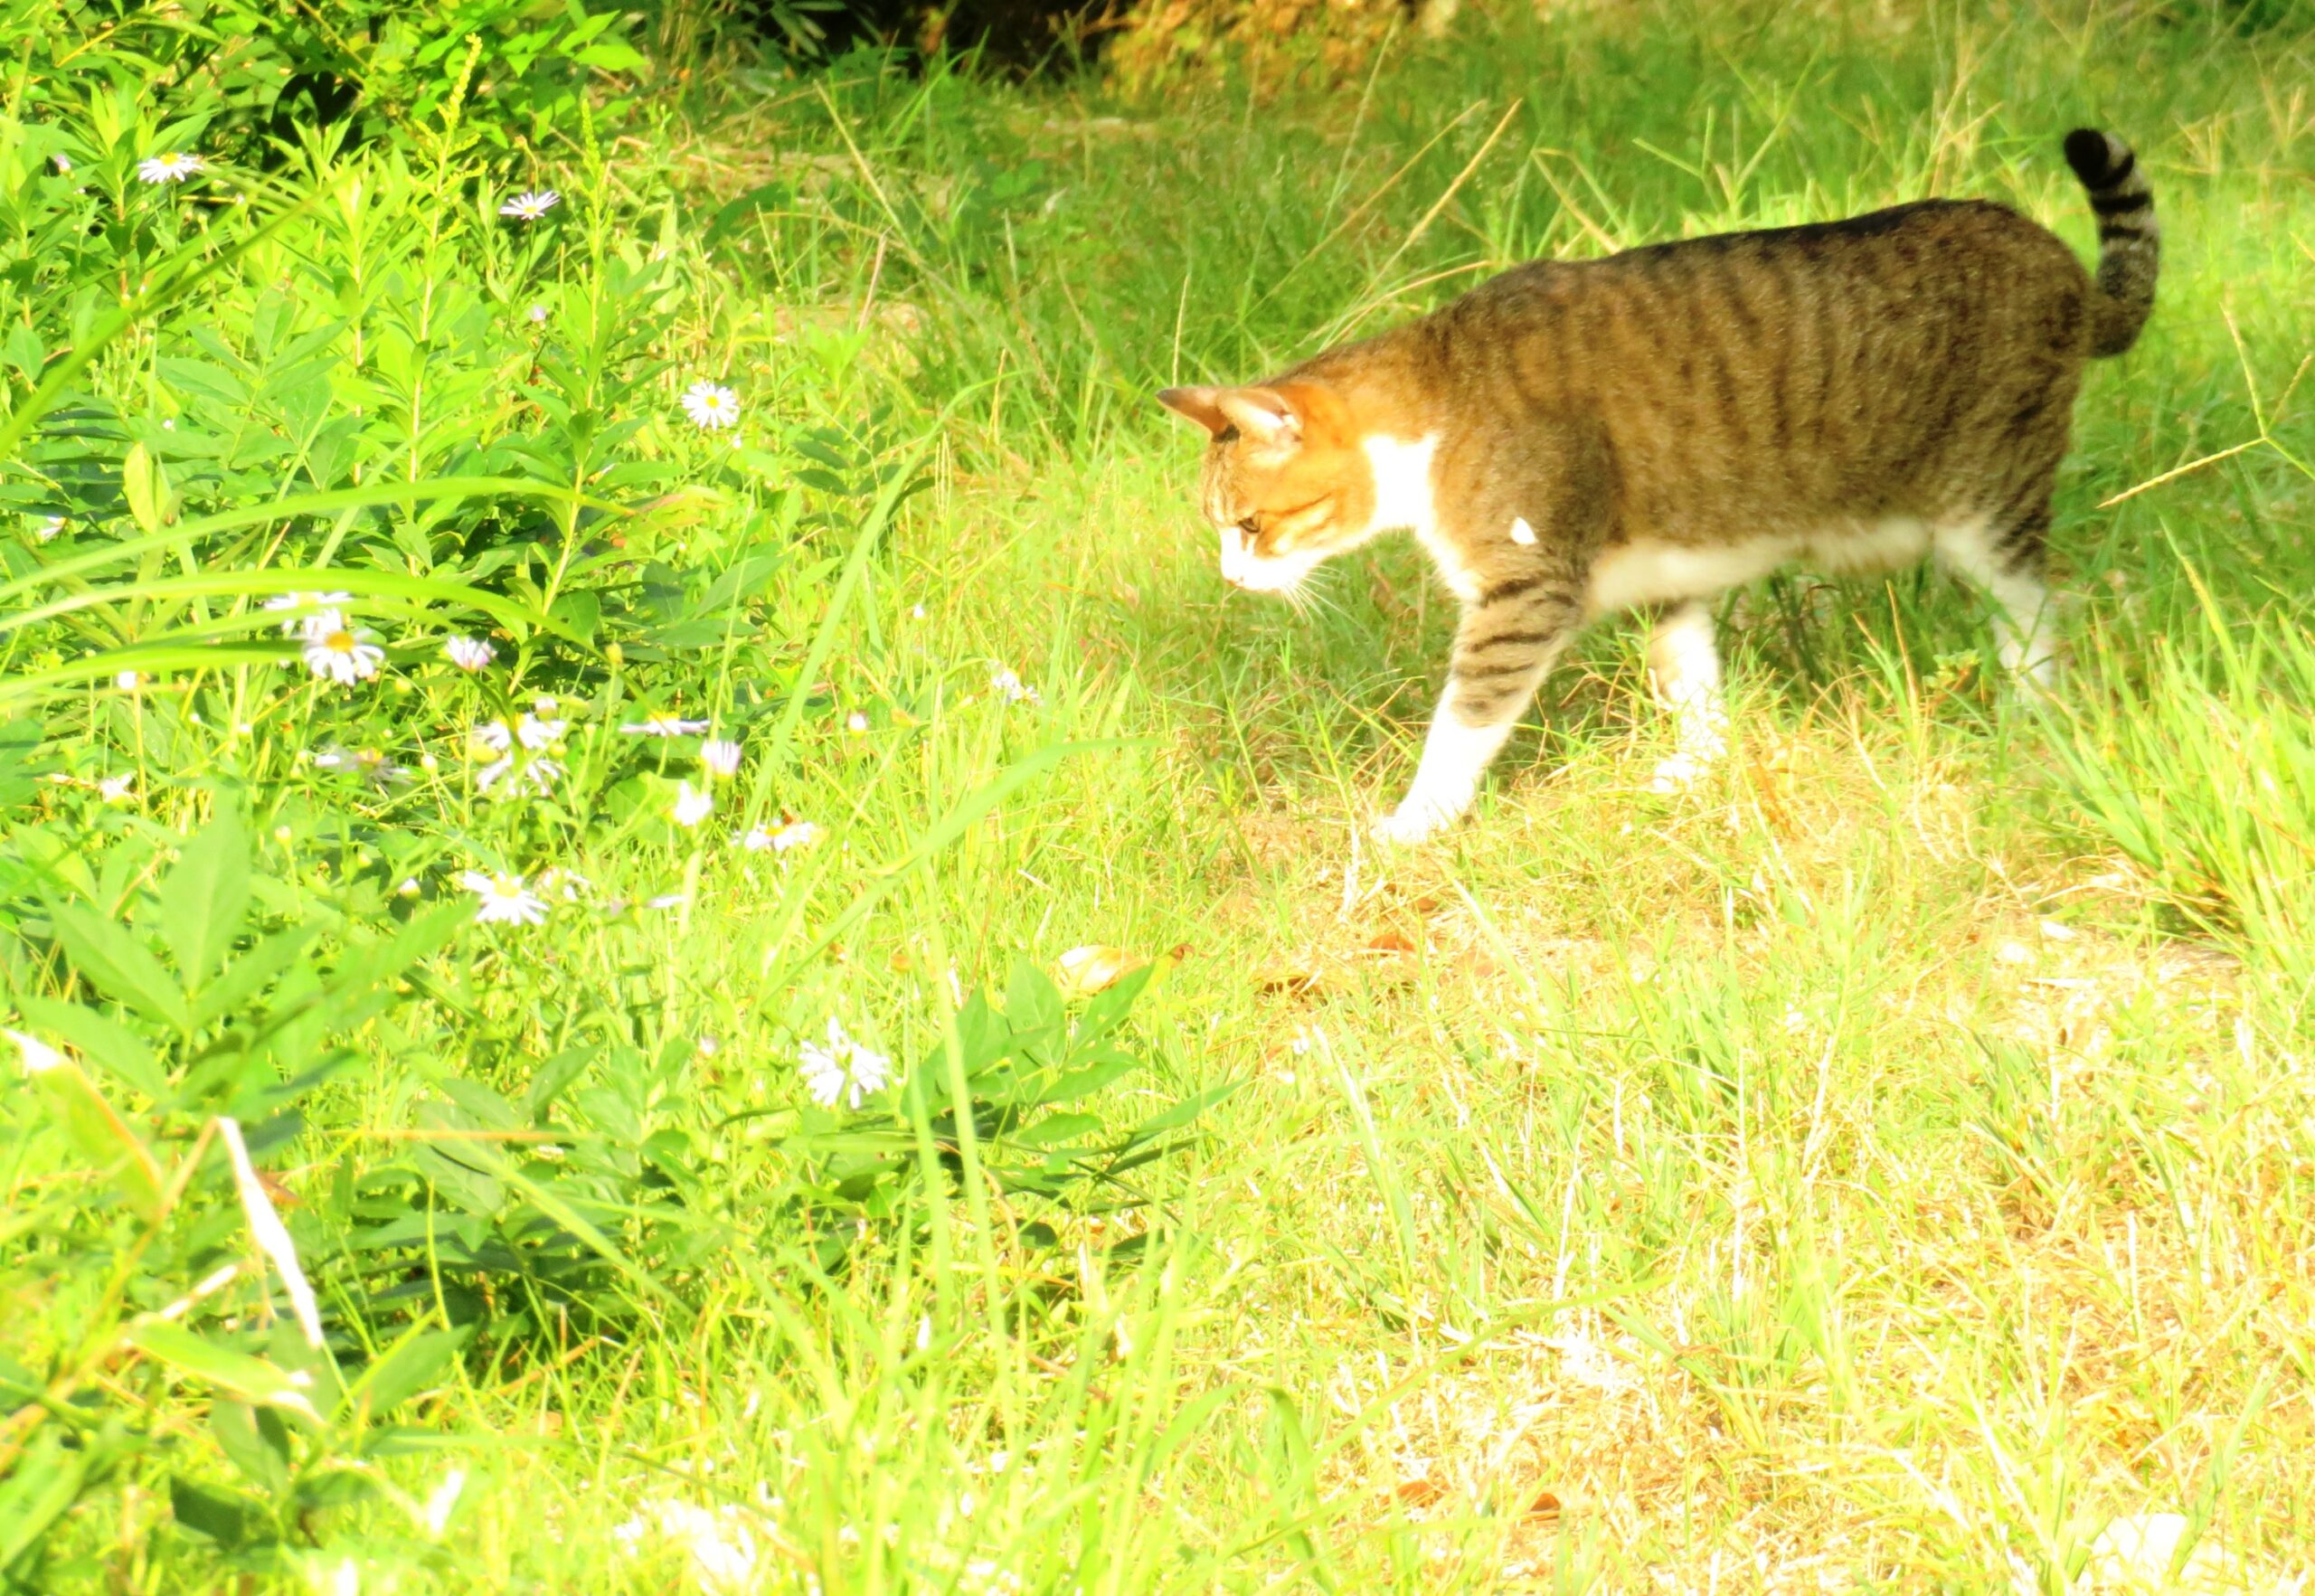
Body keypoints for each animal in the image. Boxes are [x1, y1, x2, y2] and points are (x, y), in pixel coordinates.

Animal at [1167, 128, 2157, 847]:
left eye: (1250, 524)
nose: (1228, 578)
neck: (1436, 404)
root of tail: (2060, 262)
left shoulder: (1523, 592)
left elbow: (1460, 723)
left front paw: (1414, 823)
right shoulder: (1664, 578)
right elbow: (1691, 682)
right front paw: (1700, 770)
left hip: (1984, 505)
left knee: (2037, 612)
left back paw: (2029, 716)